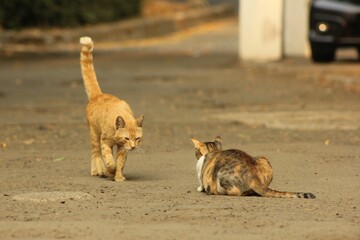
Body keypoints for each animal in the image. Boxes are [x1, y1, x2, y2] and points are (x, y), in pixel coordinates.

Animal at [80, 36, 143, 181]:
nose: (133, 147)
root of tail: (98, 95)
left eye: (137, 138)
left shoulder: (122, 149)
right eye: (127, 138)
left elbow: (120, 163)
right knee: (95, 153)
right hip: (94, 134)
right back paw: (98, 170)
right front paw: (110, 170)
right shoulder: (105, 143)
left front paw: (118, 176)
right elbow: (109, 160)